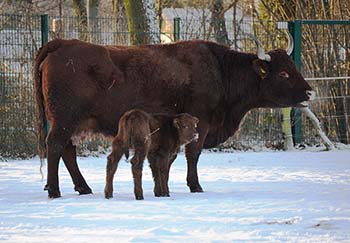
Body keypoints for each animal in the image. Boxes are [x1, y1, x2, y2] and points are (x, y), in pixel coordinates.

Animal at [34, 37, 314, 198]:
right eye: (283, 74)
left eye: (293, 67)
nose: (309, 91)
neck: (220, 70)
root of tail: (63, 42)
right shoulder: (200, 122)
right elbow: (193, 154)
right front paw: (195, 185)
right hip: (64, 120)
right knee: (55, 147)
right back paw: (55, 190)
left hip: (73, 124)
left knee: (67, 151)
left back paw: (83, 187)